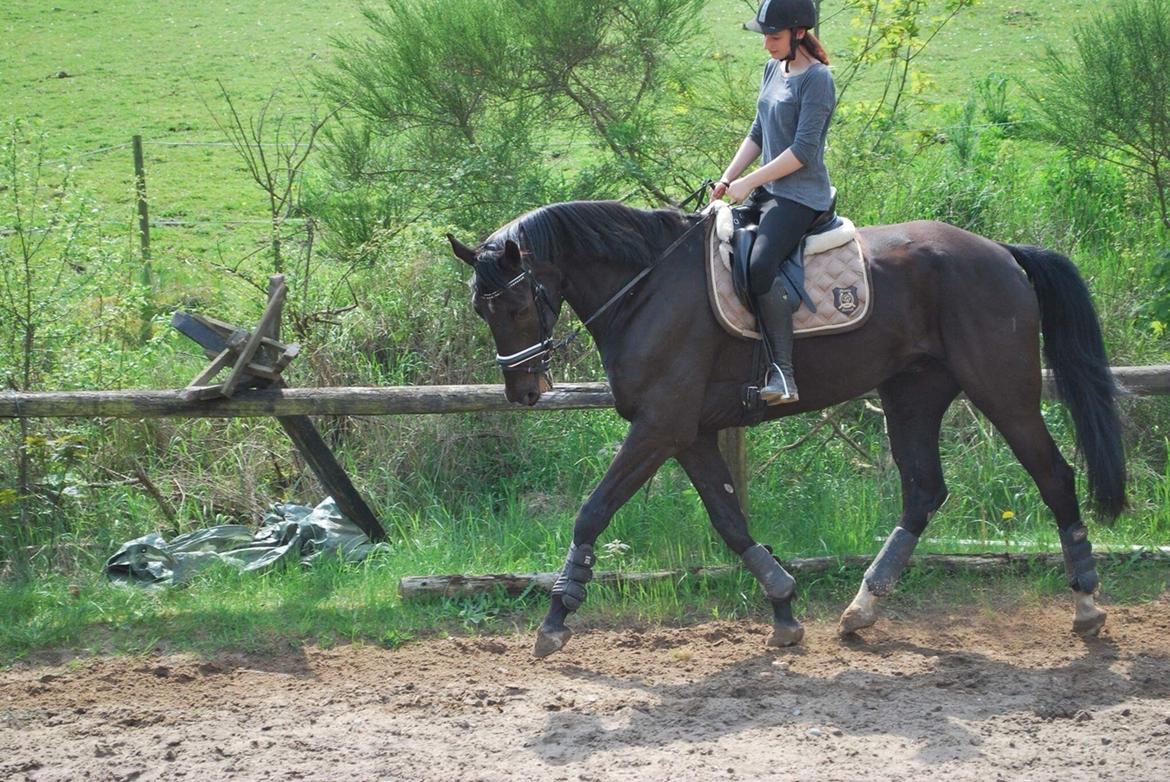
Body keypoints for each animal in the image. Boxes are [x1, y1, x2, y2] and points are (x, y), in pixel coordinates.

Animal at [446, 199, 1123, 655]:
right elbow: (729, 521)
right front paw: (783, 607)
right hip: (913, 394)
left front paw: (556, 619)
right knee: (924, 492)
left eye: (515, 304)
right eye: (482, 308)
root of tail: (1003, 252)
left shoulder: (659, 427)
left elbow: (592, 512)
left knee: (1055, 477)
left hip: (1003, 392)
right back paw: (860, 610)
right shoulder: (687, 432)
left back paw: (1088, 605)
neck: (646, 291)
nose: (524, 392)